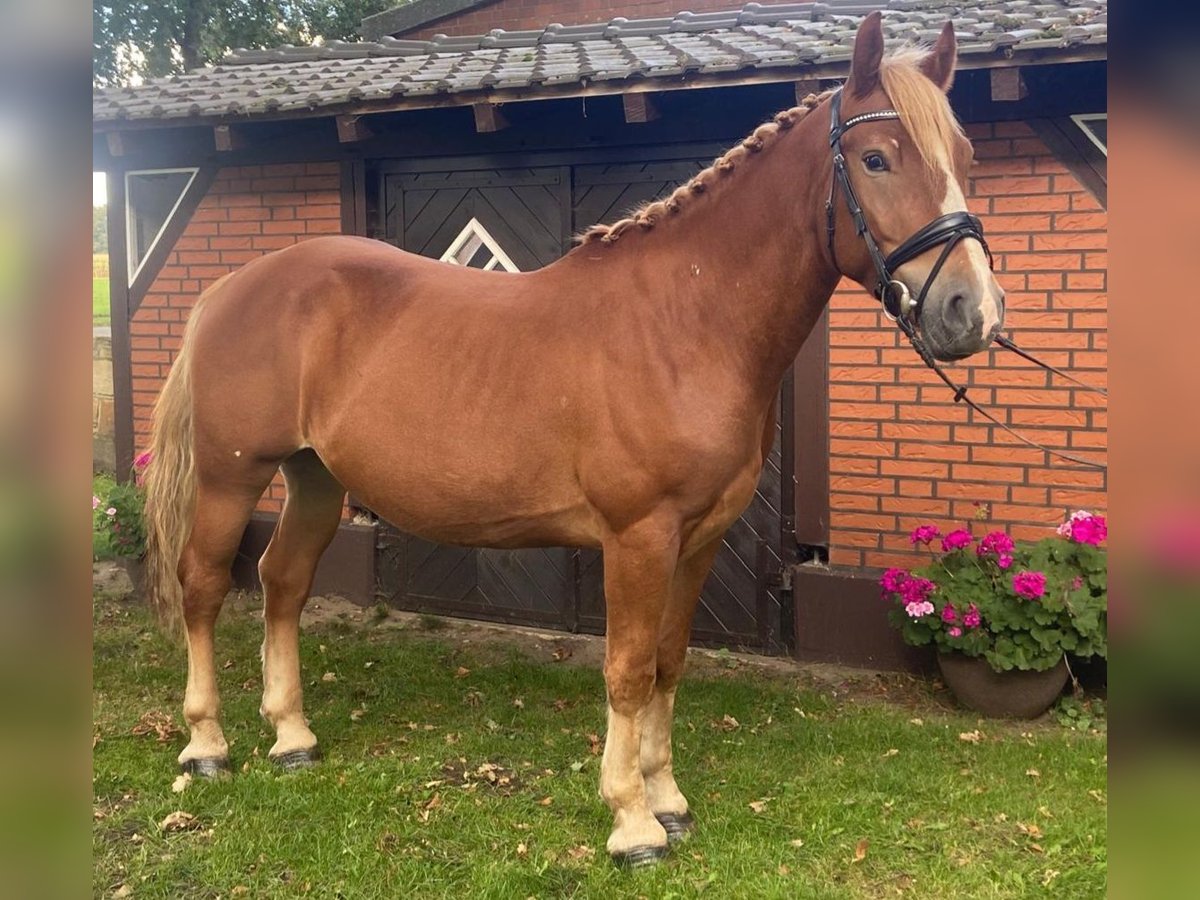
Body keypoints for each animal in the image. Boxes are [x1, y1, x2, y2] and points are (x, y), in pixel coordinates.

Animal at [140, 15, 1003, 868]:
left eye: (965, 157)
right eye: (877, 158)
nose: (972, 312)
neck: (685, 322)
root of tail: (232, 287)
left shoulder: (699, 539)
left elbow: (667, 662)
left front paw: (668, 798)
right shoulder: (639, 537)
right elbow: (626, 670)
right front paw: (632, 821)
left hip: (315, 477)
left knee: (282, 581)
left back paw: (293, 737)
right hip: (229, 477)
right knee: (204, 586)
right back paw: (207, 746)